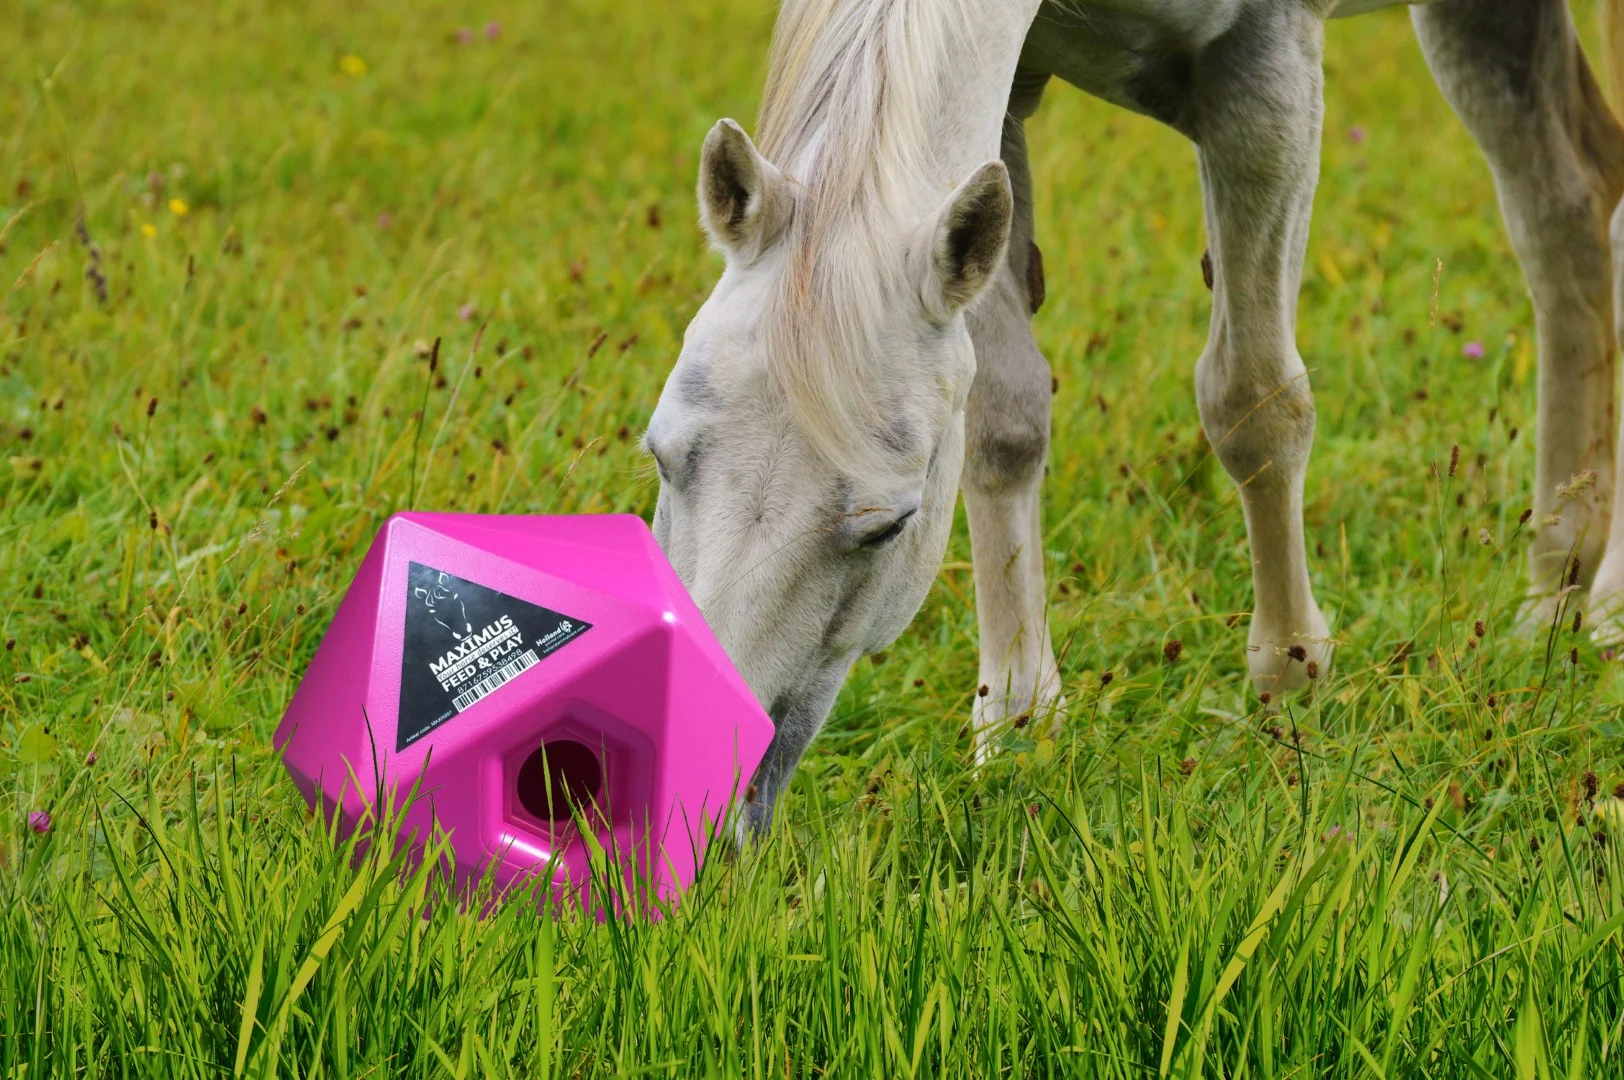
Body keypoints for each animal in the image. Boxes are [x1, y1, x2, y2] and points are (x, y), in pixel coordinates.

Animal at [646, 0, 1624, 838]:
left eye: (890, 527)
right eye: (660, 458)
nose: (692, 805)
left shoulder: (1263, 73)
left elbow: (1252, 400)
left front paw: (1290, 691)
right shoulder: (1004, 110)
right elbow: (1004, 419)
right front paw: (1019, 729)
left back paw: (1607, 610)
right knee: (1566, 215)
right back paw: (1554, 590)